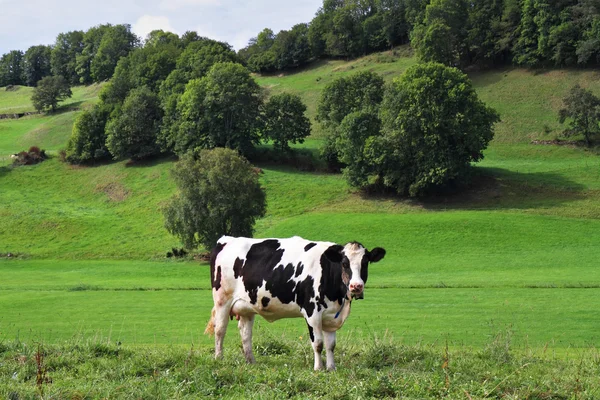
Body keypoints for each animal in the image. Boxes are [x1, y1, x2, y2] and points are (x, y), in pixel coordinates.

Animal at [204, 236, 386, 370]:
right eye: (344, 263)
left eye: (365, 262)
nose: (356, 286)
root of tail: (226, 239)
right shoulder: (312, 312)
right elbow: (318, 343)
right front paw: (318, 368)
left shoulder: (331, 316)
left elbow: (331, 345)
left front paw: (331, 368)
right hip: (222, 300)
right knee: (220, 330)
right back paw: (219, 358)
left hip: (247, 306)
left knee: (245, 333)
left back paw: (251, 362)